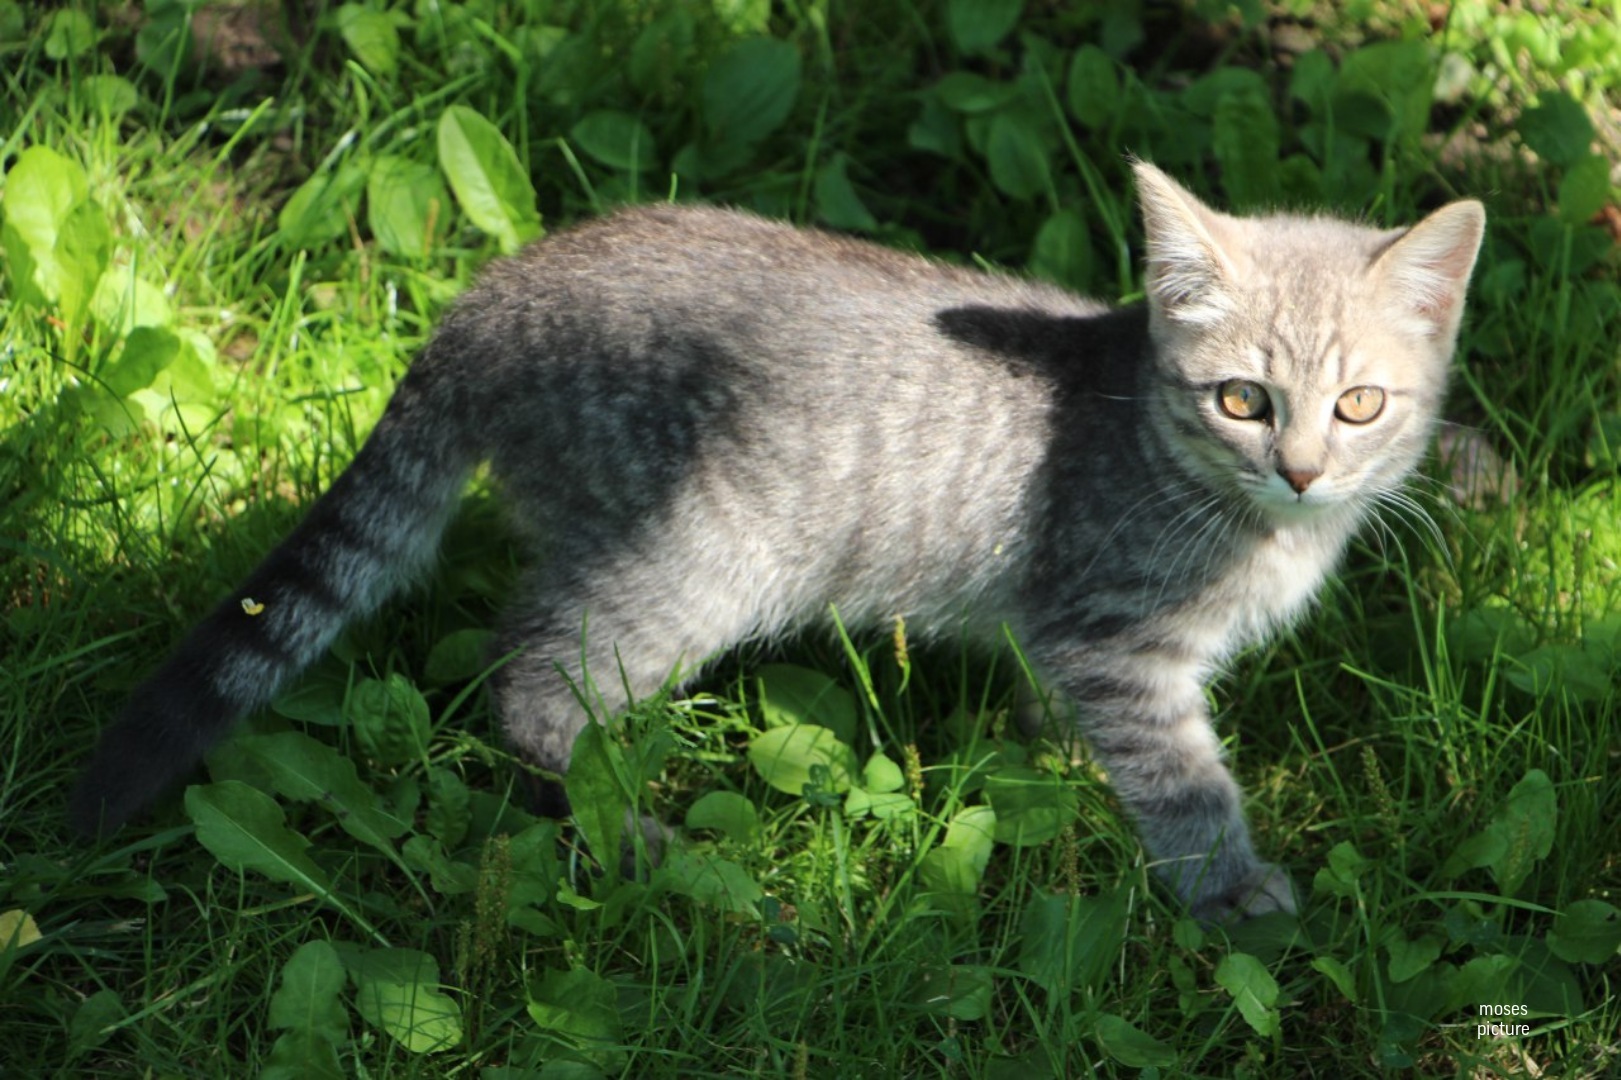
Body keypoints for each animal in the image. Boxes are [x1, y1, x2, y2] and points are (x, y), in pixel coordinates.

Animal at [69, 163, 1484, 921]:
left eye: (1360, 405)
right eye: (1241, 399)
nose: (1300, 469)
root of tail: (491, 293)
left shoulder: (1059, 636)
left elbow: (1053, 723)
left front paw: (1046, 774)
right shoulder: (1114, 638)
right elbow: (1182, 779)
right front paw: (1226, 891)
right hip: (697, 554)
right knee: (526, 676)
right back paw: (631, 836)